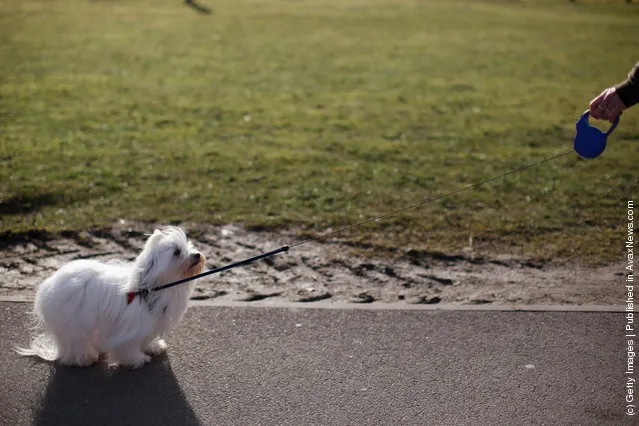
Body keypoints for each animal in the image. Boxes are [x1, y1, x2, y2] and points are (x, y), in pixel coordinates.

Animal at [16, 226, 205, 370]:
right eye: (177, 252)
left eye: (190, 246)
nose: (197, 255)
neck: (152, 288)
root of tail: (49, 284)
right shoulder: (129, 329)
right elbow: (129, 348)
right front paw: (136, 360)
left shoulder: (149, 324)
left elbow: (146, 339)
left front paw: (153, 347)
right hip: (76, 323)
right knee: (76, 344)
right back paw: (85, 358)